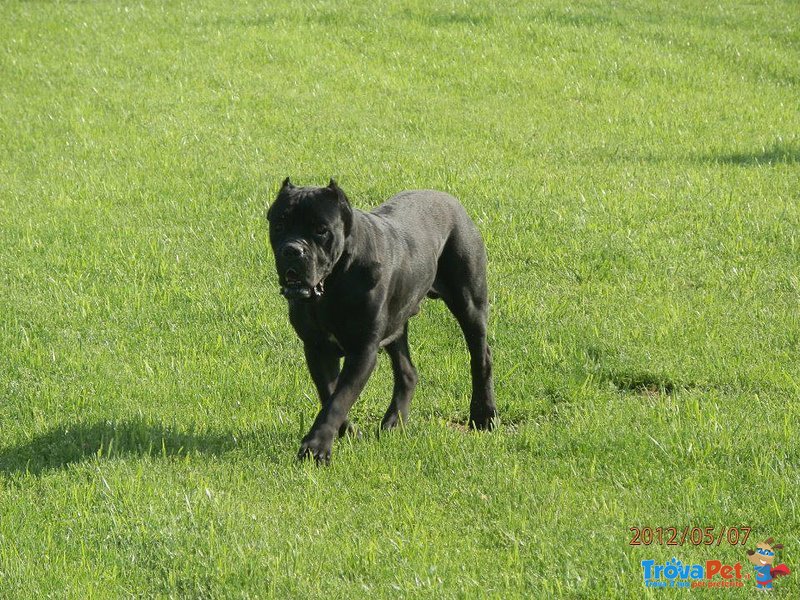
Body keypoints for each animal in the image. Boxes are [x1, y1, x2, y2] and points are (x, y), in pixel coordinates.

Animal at [266, 178, 496, 464]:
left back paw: (483, 415)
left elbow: (339, 399)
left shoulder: (362, 351)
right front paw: (347, 432)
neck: (335, 281)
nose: (292, 250)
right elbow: (329, 393)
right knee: (407, 371)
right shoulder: (317, 348)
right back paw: (394, 422)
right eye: (278, 225)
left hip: (469, 303)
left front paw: (316, 446)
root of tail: (453, 201)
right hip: (397, 324)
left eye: (321, 230)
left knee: (481, 357)